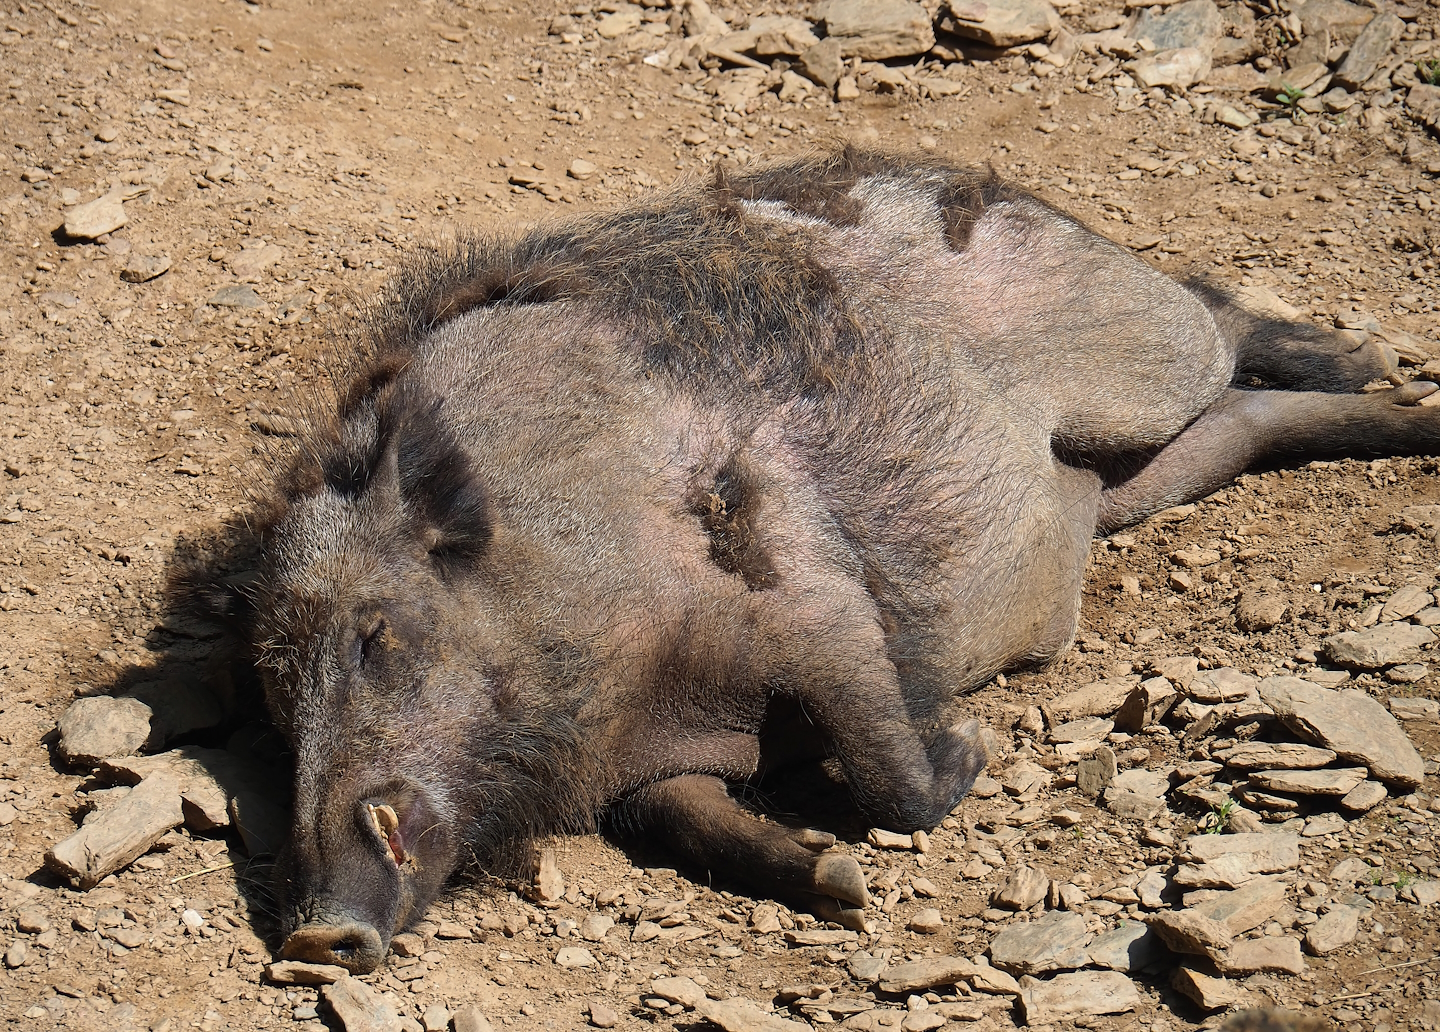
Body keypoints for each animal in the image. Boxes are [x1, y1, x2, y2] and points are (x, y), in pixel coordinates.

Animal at [224, 147, 1435, 973]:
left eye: (378, 636)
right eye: (275, 699)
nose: (319, 935)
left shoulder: (805, 596)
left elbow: (887, 762)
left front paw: (967, 758)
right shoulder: (656, 773)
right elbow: (702, 825)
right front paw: (839, 880)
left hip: (1139, 355)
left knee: (1218, 321)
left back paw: (1369, 358)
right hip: (1141, 476)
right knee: (1244, 420)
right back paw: (1400, 411)